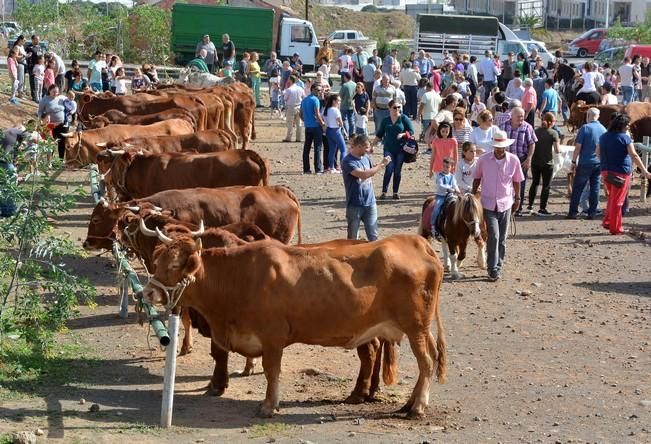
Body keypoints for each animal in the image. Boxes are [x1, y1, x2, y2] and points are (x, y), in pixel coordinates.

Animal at [144, 234, 448, 418]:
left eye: (174, 266)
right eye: (157, 261)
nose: (147, 292)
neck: (238, 278)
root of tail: (415, 242)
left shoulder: (272, 337)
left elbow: (272, 371)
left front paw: (269, 405)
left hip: (416, 327)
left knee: (426, 361)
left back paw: (418, 407)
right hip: (419, 329)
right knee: (427, 359)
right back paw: (406, 403)